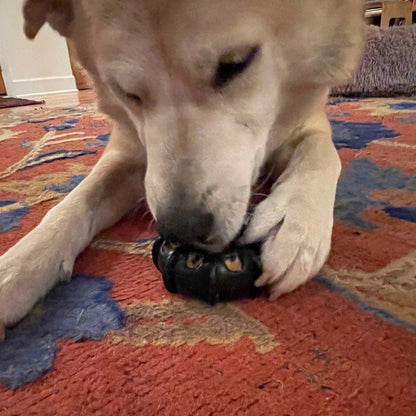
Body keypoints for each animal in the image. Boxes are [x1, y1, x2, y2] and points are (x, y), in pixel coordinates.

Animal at [0, 0, 362, 338]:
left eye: (236, 63)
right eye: (126, 92)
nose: (181, 229)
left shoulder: (309, 121)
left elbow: (320, 152)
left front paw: (295, 222)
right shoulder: (129, 150)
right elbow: (74, 204)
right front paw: (17, 266)